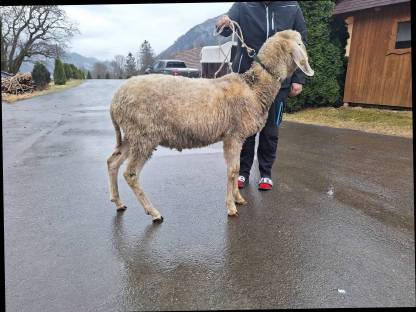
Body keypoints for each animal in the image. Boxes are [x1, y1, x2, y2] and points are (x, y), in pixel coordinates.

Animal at [105, 29, 314, 222]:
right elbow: (232, 170)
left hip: (132, 134)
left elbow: (237, 168)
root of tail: (115, 100)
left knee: (112, 162)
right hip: (144, 135)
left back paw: (118, 202)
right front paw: (231, 207)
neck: (254, 89)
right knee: (130, 174)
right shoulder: (233, 135)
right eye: (300, 43)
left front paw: (238, 199)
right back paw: (154, 212)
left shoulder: (237, 136)